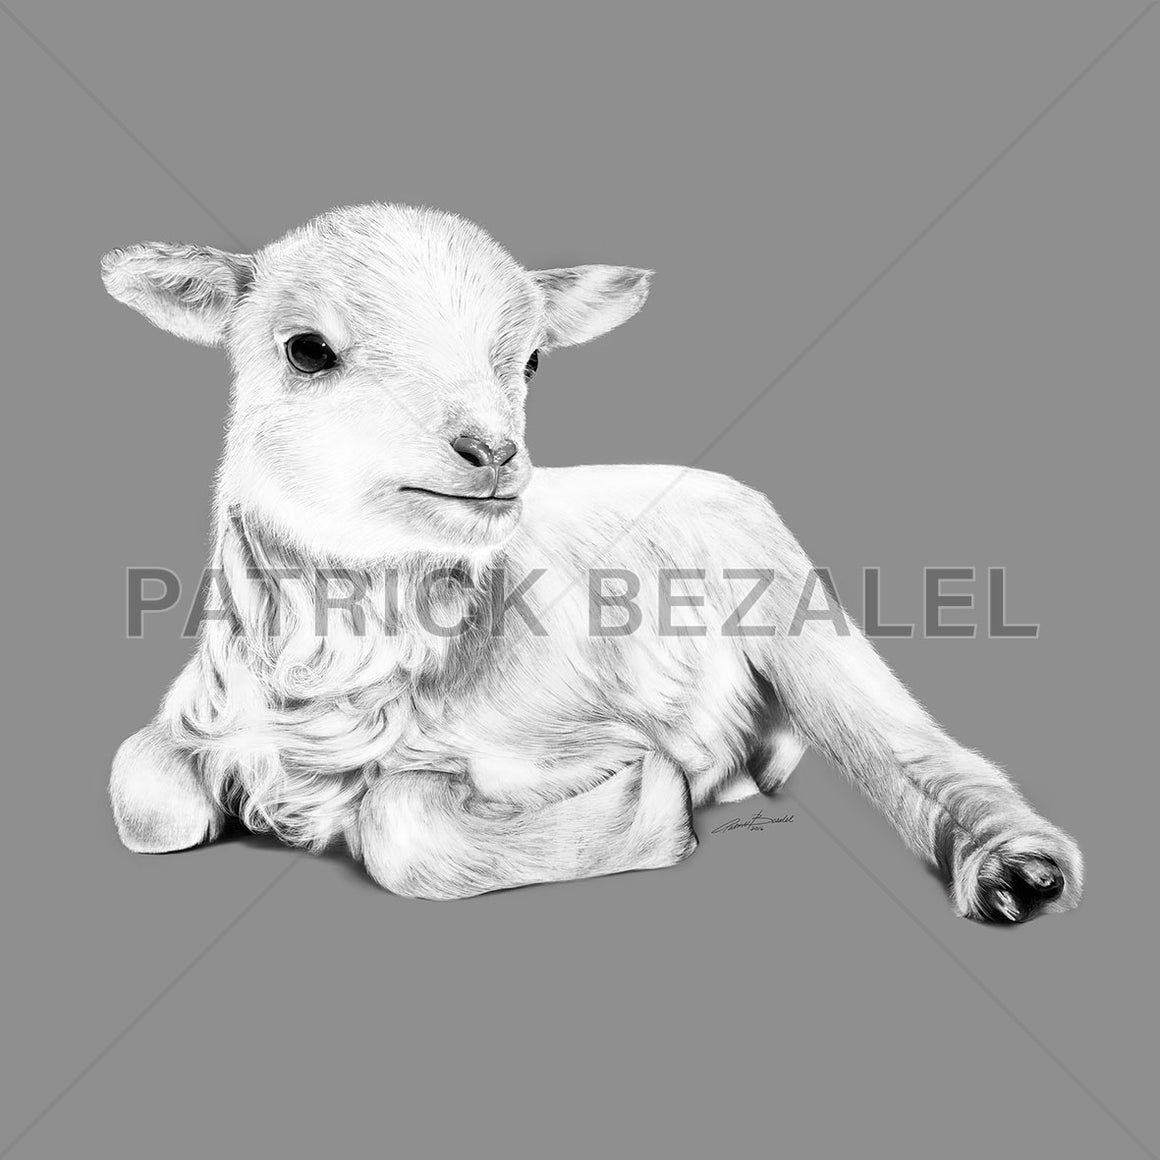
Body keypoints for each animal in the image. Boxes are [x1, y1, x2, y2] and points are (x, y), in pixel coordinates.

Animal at [102, 203, 1082, 921]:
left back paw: (1017, 870)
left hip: (793, 602)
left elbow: (404, 829)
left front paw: (653, 810)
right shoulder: (205, 722)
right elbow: (140, 791)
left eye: (533, 361)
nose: (494, 452)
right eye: (306, 350)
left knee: (907, 745)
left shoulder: (569, 745)